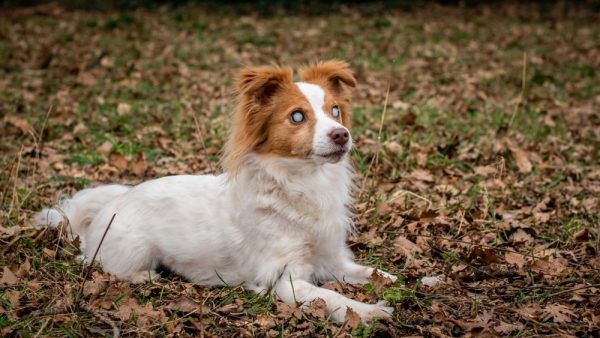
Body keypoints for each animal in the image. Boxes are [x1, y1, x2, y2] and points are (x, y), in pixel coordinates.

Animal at [35, 60, 396, 322]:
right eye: (297, 116)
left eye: (335, 111)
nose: (342, 134)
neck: (303, 183)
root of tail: (109, 206)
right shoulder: (284, 279)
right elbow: (331, 296)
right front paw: (367, 311)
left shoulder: (330, 256)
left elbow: (365, 271)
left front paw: (391, 280)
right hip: (134, 250)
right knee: (104, 265)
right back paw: (146, 277)